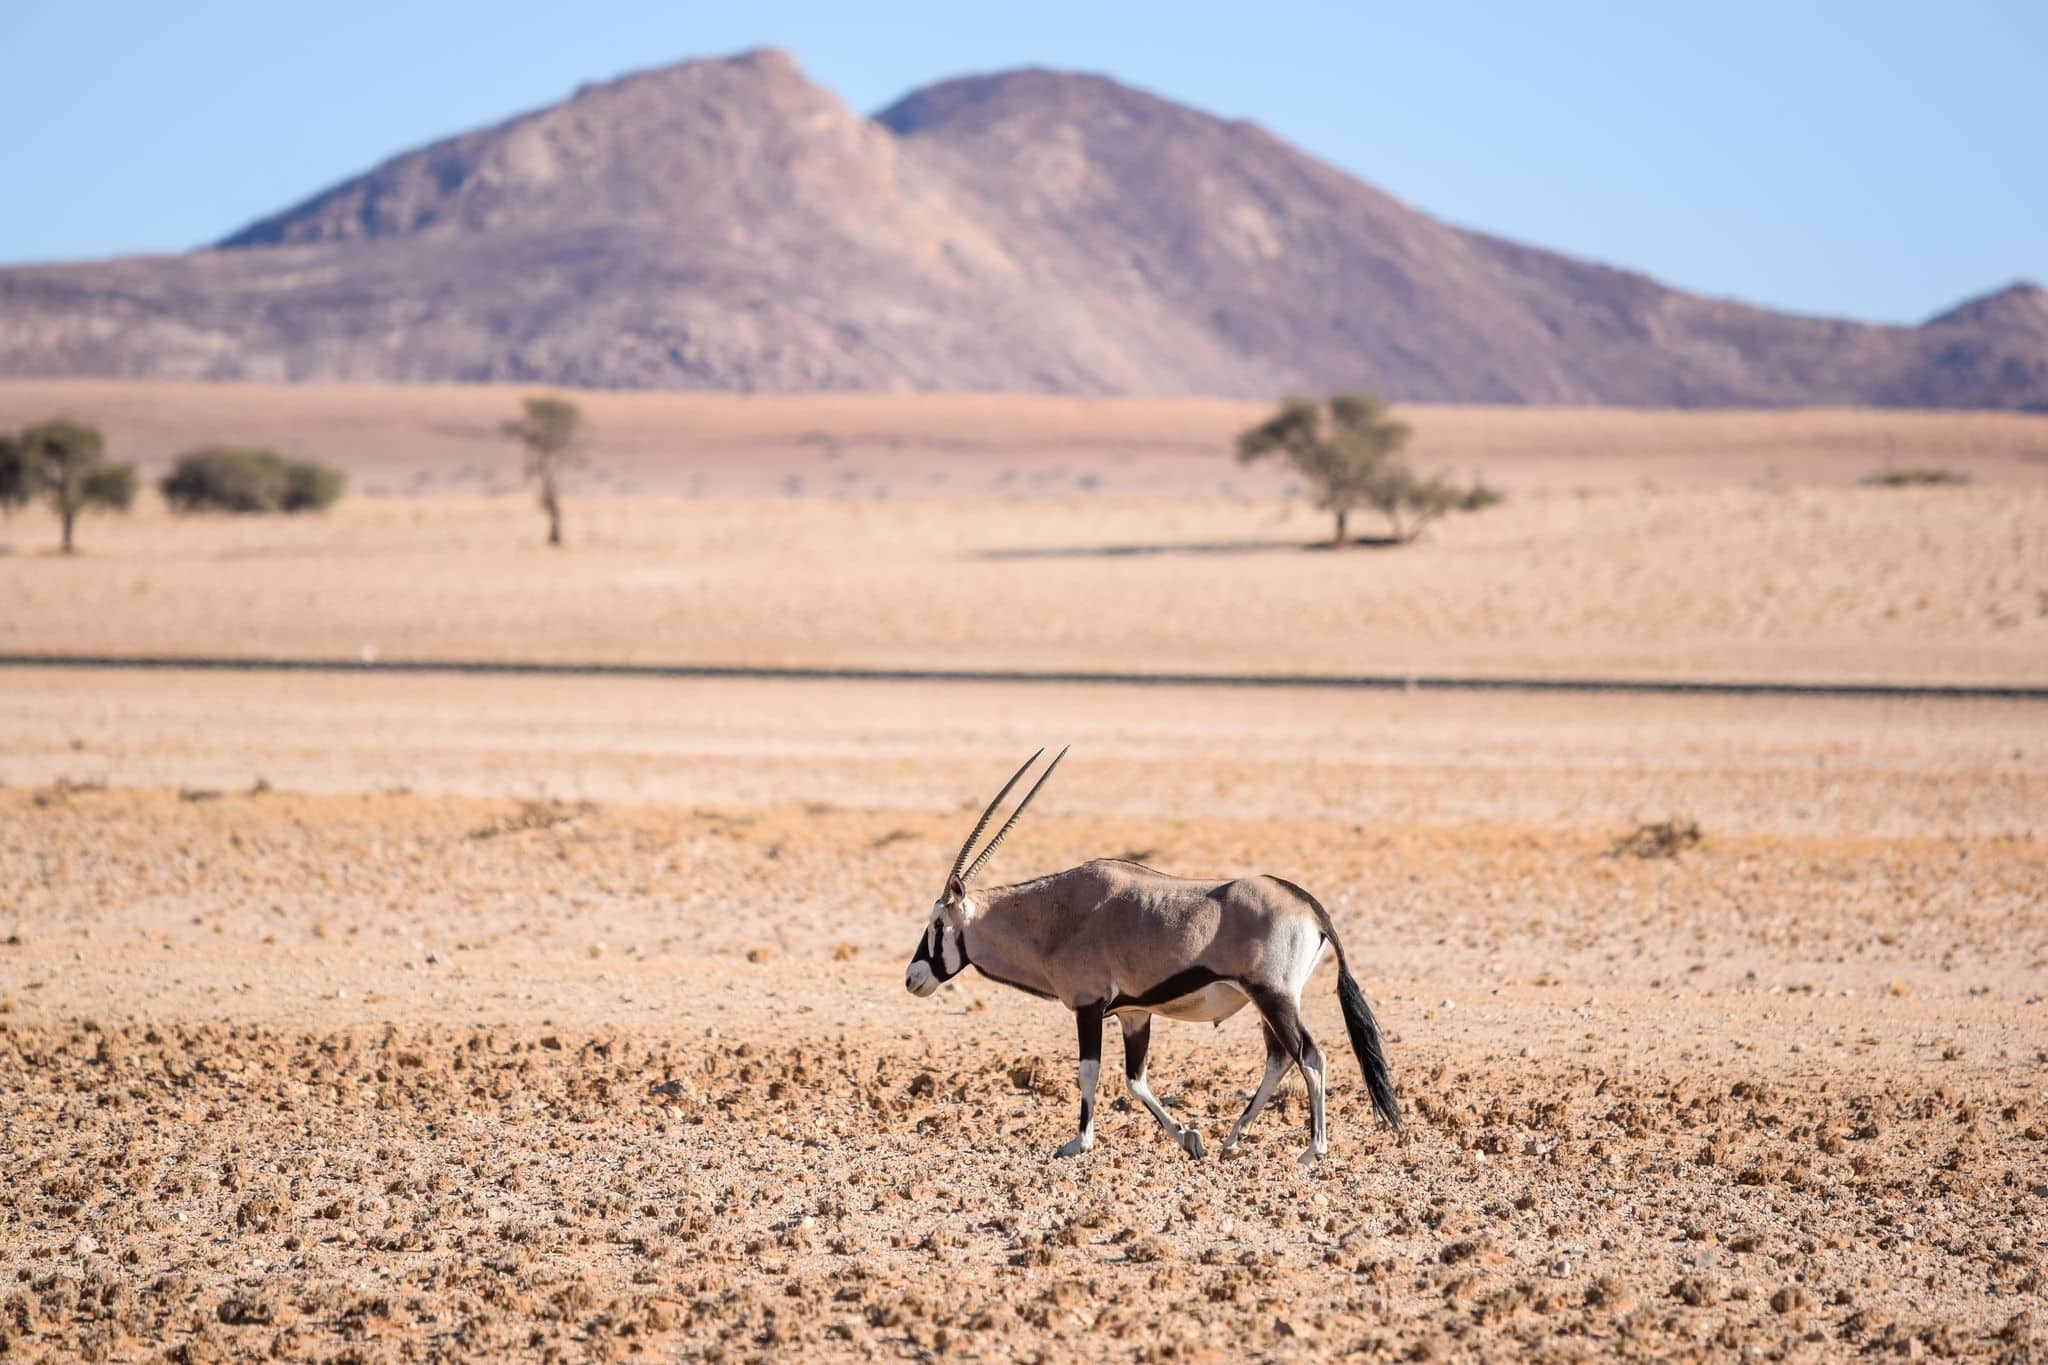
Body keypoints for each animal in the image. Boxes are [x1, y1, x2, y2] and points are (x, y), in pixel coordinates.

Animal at [905, 748, 1400, 1161]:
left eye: (937, 925)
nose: (912, 978)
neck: (1056, 917)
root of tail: (1309, 905)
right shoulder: (1133, 1013)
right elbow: (1134, 1079)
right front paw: (1189, 1138)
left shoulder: (1088, 1005)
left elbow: (1089, 1072)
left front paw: (1078, 1143)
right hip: (1266, 1003)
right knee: (1279, 1059)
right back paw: (1230, 1142)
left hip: (1274, 997)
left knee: (1310, 1057)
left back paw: (1312, 1151)